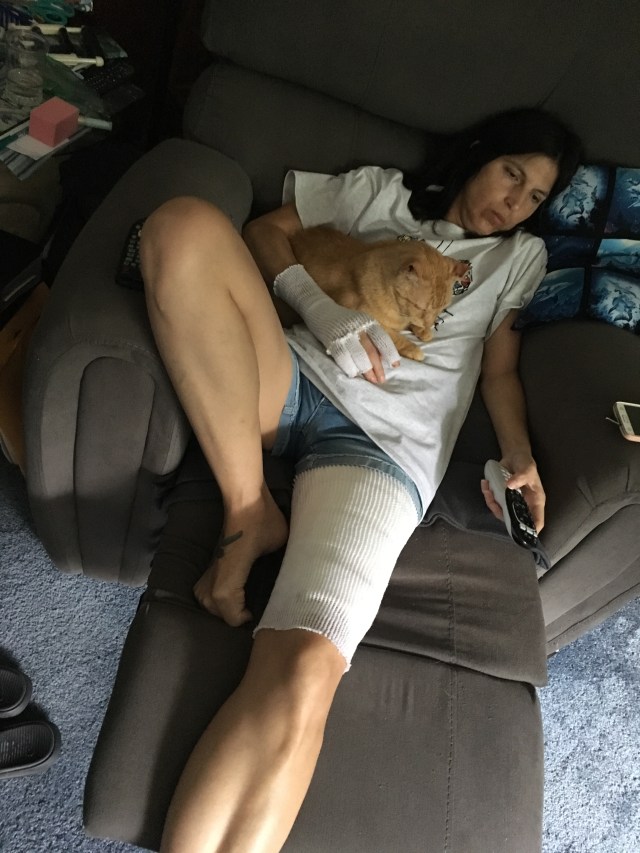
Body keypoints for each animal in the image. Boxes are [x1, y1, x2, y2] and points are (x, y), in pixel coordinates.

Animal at [290, 225, 470, 361]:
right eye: (421, 308)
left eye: (440, 309)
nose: (428, 324)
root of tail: (299, 233)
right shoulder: (364, 317)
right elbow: (393, 336)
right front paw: (412, 347)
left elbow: (412, 323)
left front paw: (422, 331)